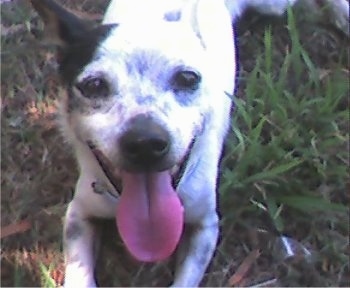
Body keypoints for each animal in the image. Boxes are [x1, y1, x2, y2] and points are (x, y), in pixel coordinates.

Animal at [31, 0, 348, 286]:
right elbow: (78, 274)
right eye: (94, 85)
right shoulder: (78, 215)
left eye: (187, 78)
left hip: (275, 6)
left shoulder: (205, 227)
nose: (145, 143)